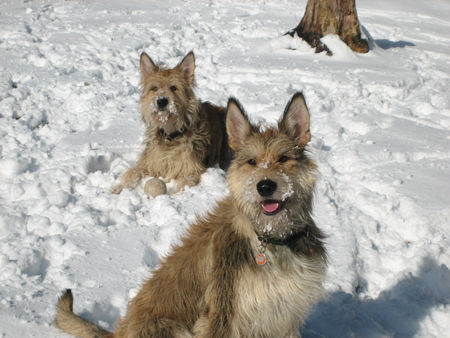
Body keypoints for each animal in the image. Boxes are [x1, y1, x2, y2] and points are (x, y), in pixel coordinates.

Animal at [55, 92, 326, 338]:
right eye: (251, 161)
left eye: (284, 158)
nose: (265, 186)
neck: (271, 240)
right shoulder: (222, 313)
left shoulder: (285, 316)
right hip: (170, 328)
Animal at [112, 51, 230, 197]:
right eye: (154, 88)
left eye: (174, 87)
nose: (162, 101)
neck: (170, 133)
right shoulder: (149, 162)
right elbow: (132, 172)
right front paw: (119, 187)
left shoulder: (192, 169)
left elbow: (184, 183)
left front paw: (173, 195)